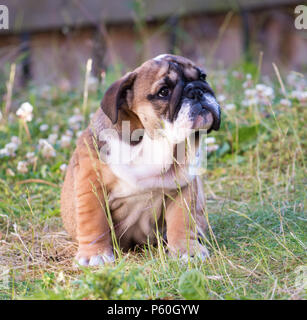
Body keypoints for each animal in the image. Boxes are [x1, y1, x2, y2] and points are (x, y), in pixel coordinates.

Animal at [61, 54, 221, 264]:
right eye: (164, 92)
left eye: (203, 76)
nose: (196, 90)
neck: (154, 142)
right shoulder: (90, 185)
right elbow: (93, 221)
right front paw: (95, 254)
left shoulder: (184, 187)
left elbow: (182, 220)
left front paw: (186, 249)